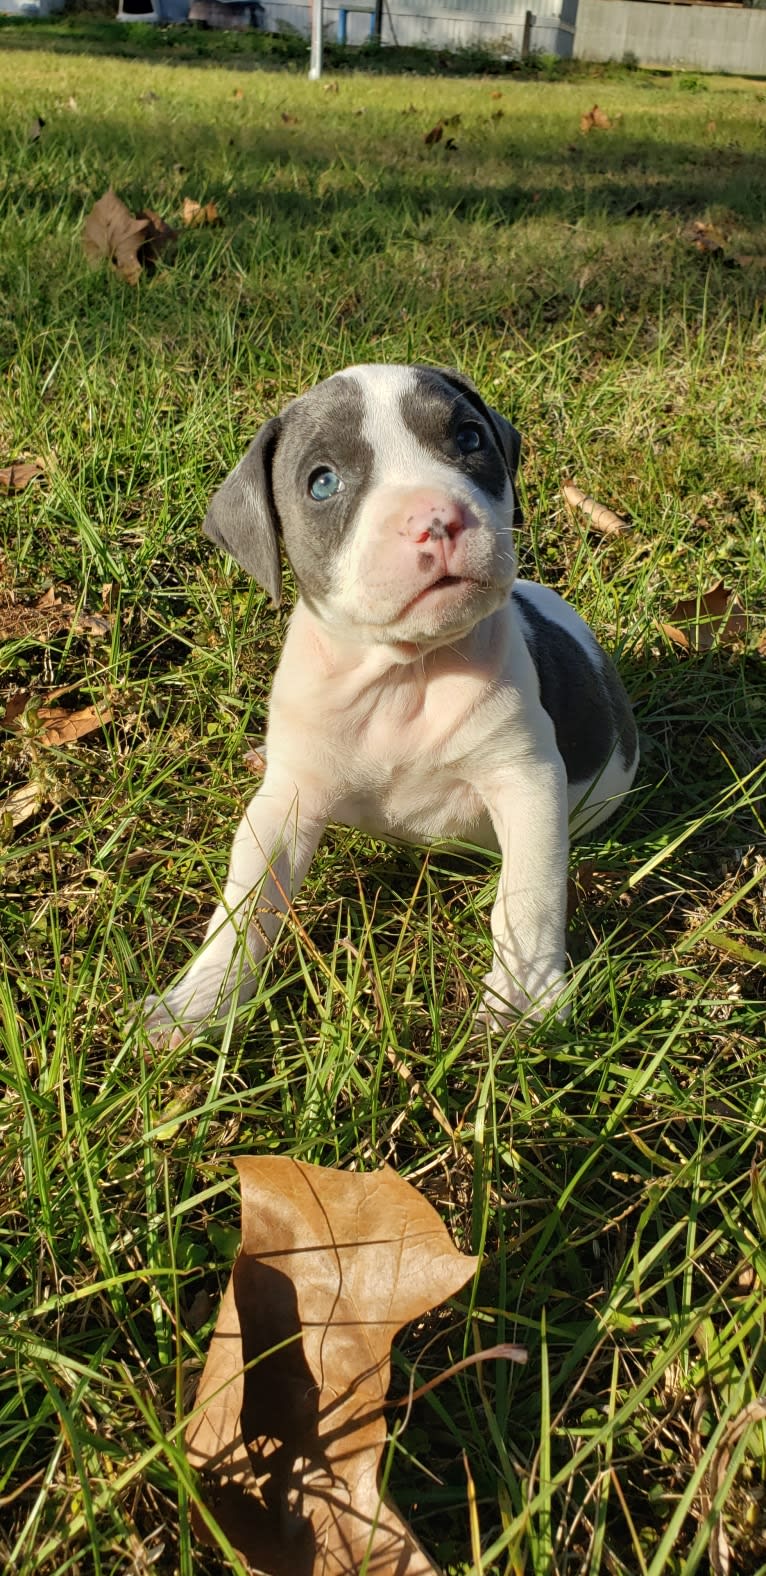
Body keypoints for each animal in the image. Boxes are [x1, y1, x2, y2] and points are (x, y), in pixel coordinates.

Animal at [141, 360, 633, 1040]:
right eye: (323, 482)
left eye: (469, 438)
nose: (436, 518)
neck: (404, 676)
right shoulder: (286, 803)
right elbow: (245, 900)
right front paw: (200, 1000)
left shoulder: (525, 779)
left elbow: (528, 895)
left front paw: (524, 999)